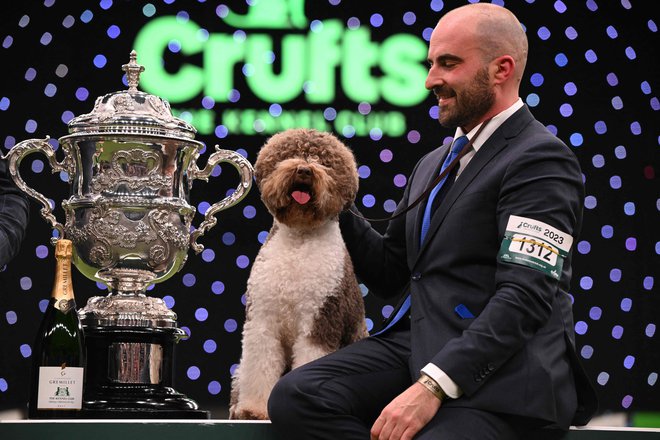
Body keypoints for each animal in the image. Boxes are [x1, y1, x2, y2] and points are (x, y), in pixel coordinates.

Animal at [229, 127, 368, 420]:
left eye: (324, 161)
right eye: (289, 155)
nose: (304, 170)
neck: (299, 239)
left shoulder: (320, 318)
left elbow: (309, 356)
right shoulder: (263, 320)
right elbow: (259, 364)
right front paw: (254, 409)